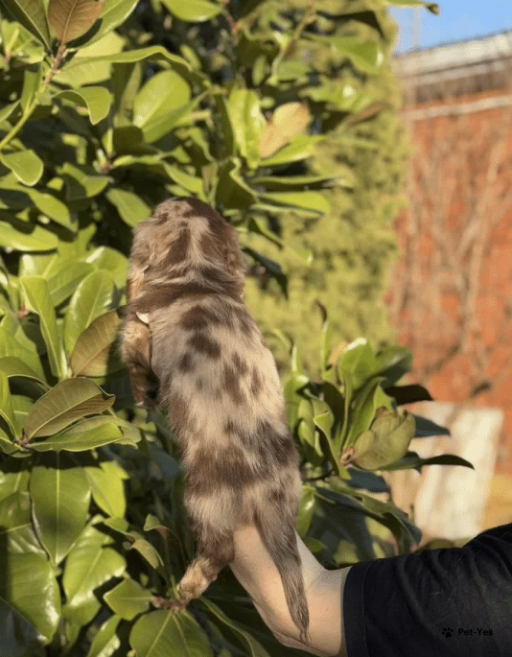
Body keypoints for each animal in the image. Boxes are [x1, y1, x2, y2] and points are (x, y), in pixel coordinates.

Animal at [119, 197, 310, 644]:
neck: (196, 273)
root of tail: (269, 489)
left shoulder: (135, 330)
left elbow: (136, 368)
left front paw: (143, 399)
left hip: (203, 498)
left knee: (220, 551)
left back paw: (178, 594)